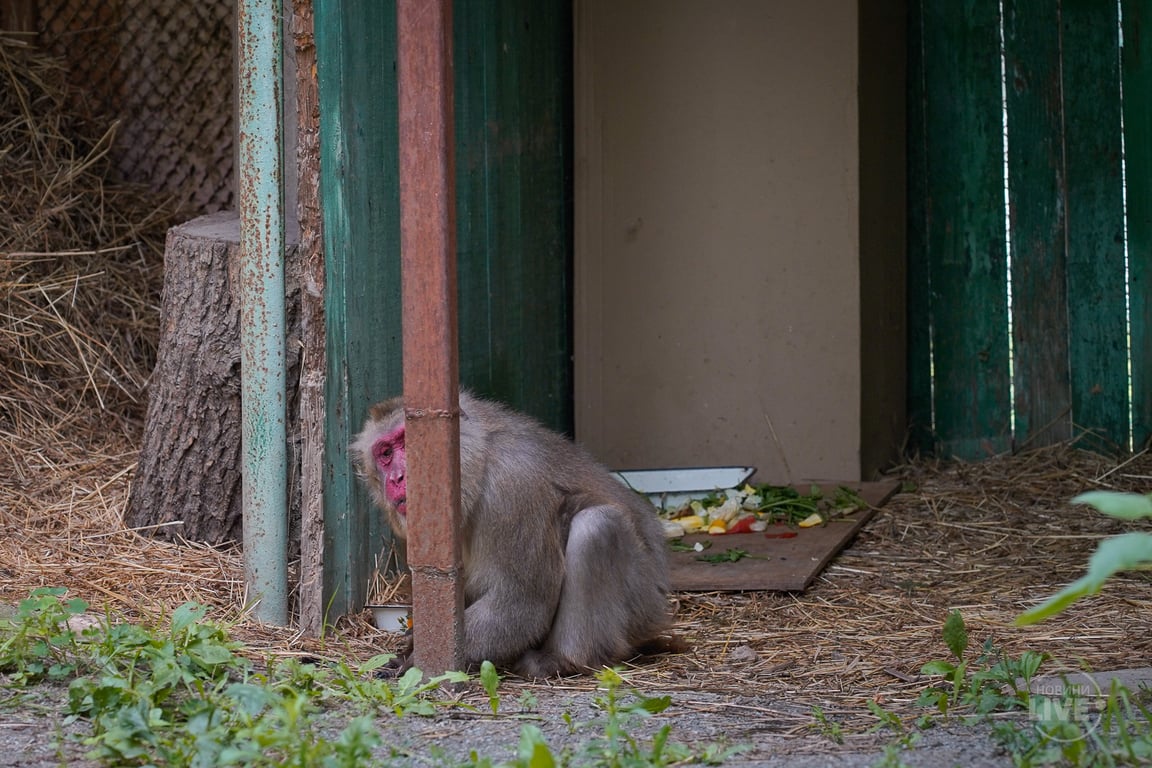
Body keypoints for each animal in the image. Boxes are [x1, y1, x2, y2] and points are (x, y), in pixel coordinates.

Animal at [354, 393, 677, 677]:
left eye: (410, 442)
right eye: (386, 454)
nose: (398, 478)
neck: (477, 469)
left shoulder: (513, 487)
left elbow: (522, 603)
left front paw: (419, 663)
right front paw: (409, 651)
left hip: (641, 601)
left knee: (596, 526)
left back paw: (564, 660)